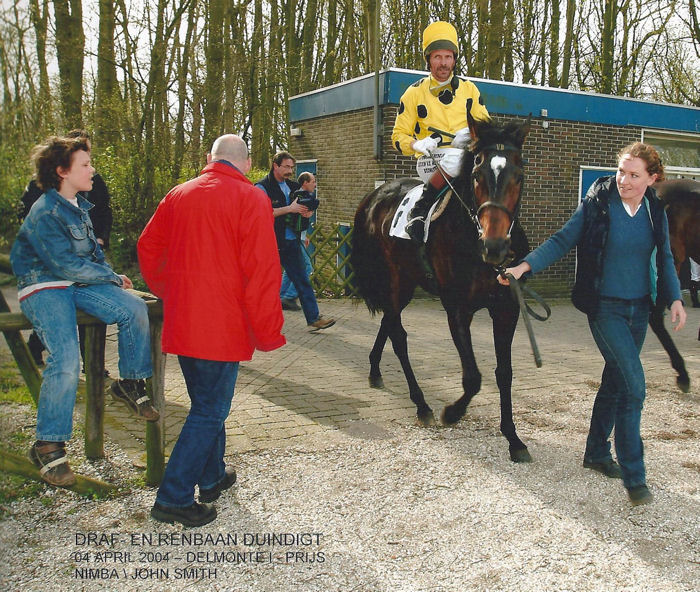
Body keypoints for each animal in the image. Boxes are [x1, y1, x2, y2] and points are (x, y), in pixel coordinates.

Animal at [352, 115, 532, 462]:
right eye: (476, 175)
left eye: (519, 175)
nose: (495, 247)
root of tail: (375, 196)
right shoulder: (458, 309)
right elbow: (473, 377)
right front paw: (452, 412)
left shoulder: (506, 309)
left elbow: (504, 373)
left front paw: (513, 438)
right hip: (393, 280)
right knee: (399, 336)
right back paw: (421, 404)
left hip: (406, 283)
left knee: (388, 323)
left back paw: (375, 370)